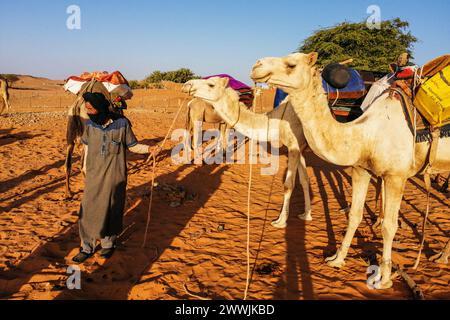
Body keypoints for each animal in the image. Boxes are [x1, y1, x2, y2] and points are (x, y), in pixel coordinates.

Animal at [183, 77, 312, 228]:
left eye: (211, 84)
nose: (187, 84)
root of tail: (190, 104)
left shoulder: (297, 146)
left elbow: (296, 182)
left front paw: (288, 220)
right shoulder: (298, 147)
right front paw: (295, 218)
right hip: (195, 117)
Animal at [251, 53, 450, 290]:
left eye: (291, 64)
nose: (256, 66)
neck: (367, 133)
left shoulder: (396, 176)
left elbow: (389, 226)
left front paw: (384, 279)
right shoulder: (361, 169)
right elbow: (354, 215)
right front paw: (336, 259)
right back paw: (440, 257)